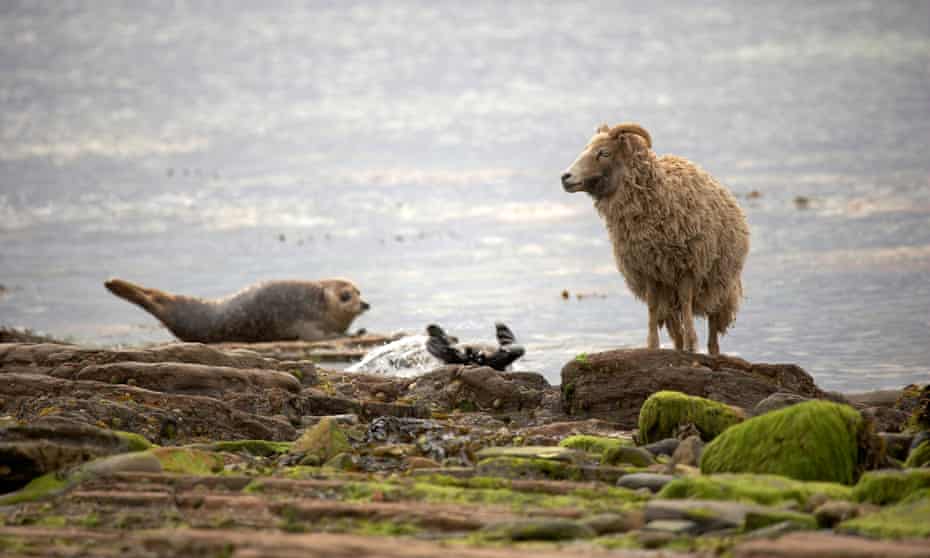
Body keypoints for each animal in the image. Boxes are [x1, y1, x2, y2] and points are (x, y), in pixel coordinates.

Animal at [560, 124, 748, 356]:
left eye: (603, 152)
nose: (565, 177)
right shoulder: (648, 268)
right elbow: (651, 306)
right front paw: (653, 346)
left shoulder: (687, 267)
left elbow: (686, 302)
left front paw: (692, 345)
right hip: (671, 294)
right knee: (675, 330)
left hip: (720, 284)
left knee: (713, 330)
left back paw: (710, 352)